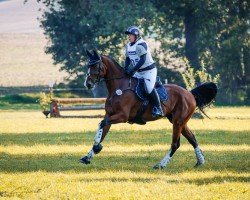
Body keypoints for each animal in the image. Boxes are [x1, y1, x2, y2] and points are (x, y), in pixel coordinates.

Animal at [80, 49, 217, 169]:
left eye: (96, 66)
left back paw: (160, 165)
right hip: (178, 121)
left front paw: (97, 147)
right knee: (192, 138)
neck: (119, 88)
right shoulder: (109, 115)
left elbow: (101, 125)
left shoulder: (122, 116)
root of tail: (190, 93)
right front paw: (89, 155)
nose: (88, 84)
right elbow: (102, 129)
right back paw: (200, 161)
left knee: (175, 144)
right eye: (88, 65)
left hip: (178, 122)